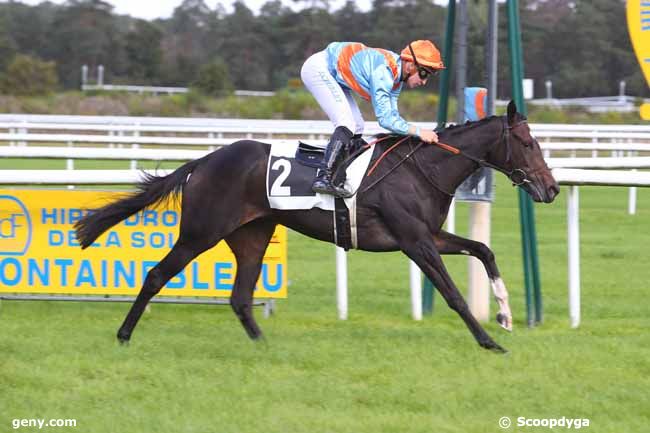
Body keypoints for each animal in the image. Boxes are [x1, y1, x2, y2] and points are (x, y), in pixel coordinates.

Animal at [73, 100, 556, 352]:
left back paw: (263, 345)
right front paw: (489, 341)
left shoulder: (431, 235)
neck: (422, 168)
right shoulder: (415, 241)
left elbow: (483, 249)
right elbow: (453, 294)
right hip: (200, 232)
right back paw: (123, 335)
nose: (550, 188)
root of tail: (204, 161)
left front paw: (504, 313)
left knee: (240, 297)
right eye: (527, 142)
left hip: (252, 234)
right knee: (157, 274)